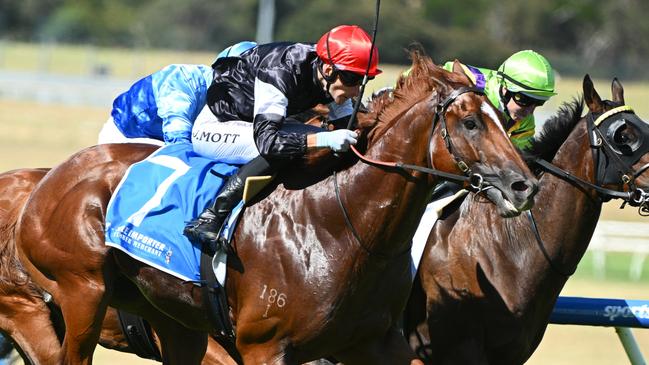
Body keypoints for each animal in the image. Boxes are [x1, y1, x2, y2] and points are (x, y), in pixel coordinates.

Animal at [15, 52, 536, 364]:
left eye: (503, 120)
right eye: (470, 122)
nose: (523, 186)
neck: (343, 226)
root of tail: (49, 180)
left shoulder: (375, 341)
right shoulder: (263, 347)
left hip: (169, 317)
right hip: (81, 292)